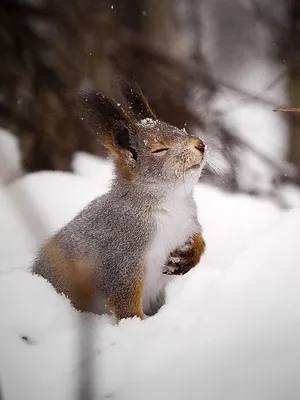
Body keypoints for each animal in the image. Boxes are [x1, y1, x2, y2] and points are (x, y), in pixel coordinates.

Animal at [31, 81, 207, 322]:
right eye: (159, 149)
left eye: (179, 129)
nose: (200, 144)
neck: (172, 203)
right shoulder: (122, 256)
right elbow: (125, 300)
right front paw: (135, 325)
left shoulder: (189, 221)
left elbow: (198, 239)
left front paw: (190, 254)